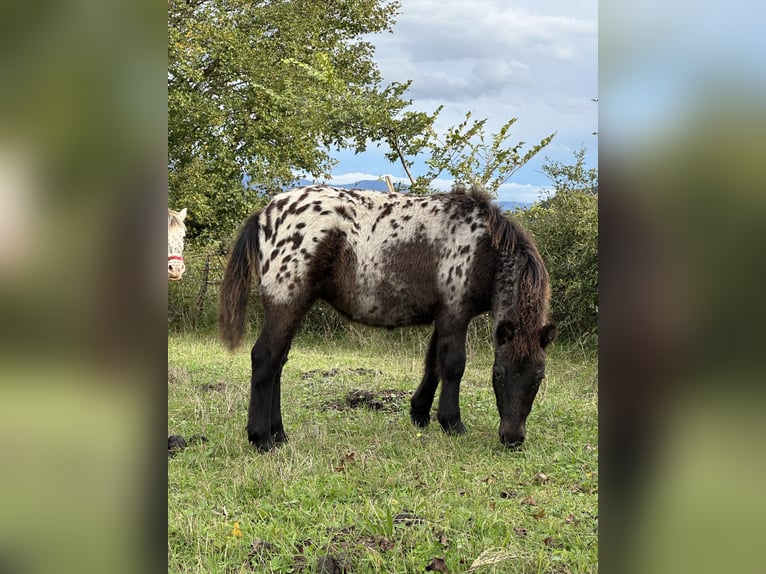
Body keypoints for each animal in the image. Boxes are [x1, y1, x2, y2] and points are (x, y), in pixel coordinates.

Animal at [219, 187, 556, 452]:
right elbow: (453, 366)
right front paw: (452, 423)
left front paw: (420, 414)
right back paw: (261, 439)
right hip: (286, 305)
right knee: (265, 359)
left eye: (539, 377)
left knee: (278, 363)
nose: (512, 438)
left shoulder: (442, 317)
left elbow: (432, 365)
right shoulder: (455, 315)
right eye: (498, 373)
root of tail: (265, 214)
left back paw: (278, 434)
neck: (482, 248)